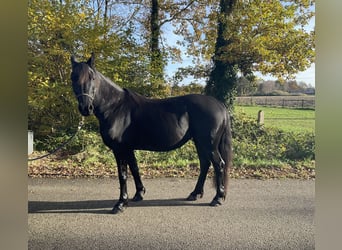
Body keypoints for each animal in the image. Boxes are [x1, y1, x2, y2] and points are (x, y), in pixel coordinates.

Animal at [70, 53, 232, 214]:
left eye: (92, 77)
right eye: (73, 77)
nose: (86, 108)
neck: (115, 107)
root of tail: (219, 104)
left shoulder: (119, 149)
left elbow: (123, 175)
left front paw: (120, 204)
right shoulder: (128, 149)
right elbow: (134, 168)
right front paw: (138, 194)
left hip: (209, 144)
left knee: (219, 165)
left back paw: (217, 198)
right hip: (199, 142)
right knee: (205, 164)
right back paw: (195, 193)